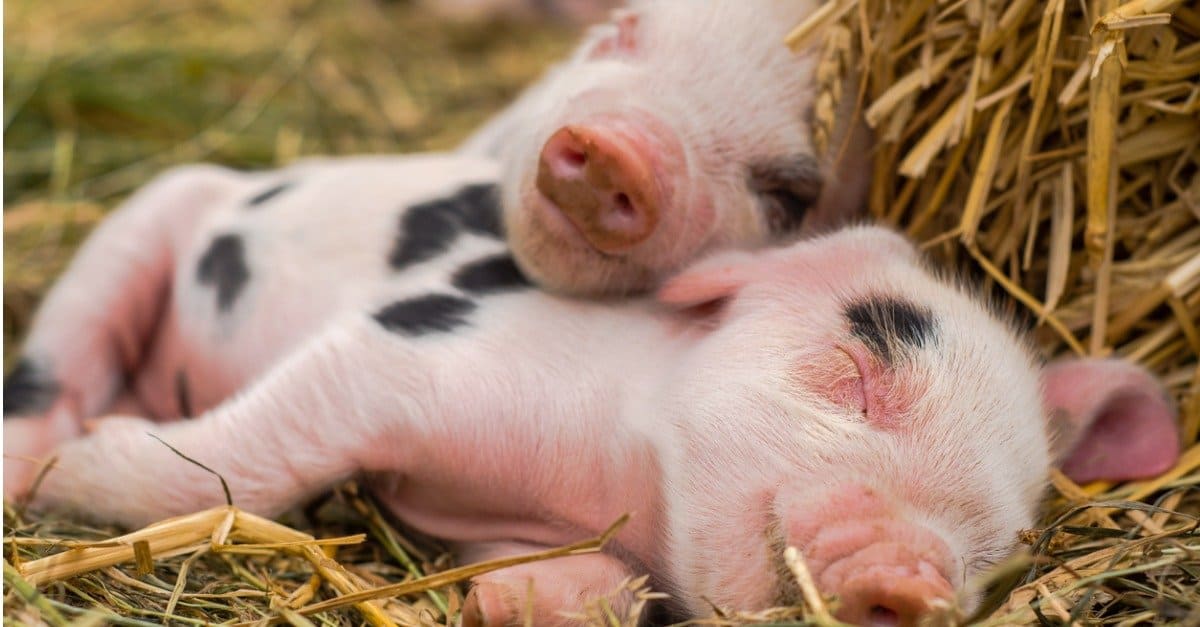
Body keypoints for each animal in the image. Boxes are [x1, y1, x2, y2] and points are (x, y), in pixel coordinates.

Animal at [3, 153, 1180, 624]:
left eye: (994, 548)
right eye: (857, 372)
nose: (910, 575)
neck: (606, 476)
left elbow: (600, 590)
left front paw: (513, 602)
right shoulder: (399, 353)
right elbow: (251, 461)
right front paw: (92, 455)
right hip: (143, 218)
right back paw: (44, 448)